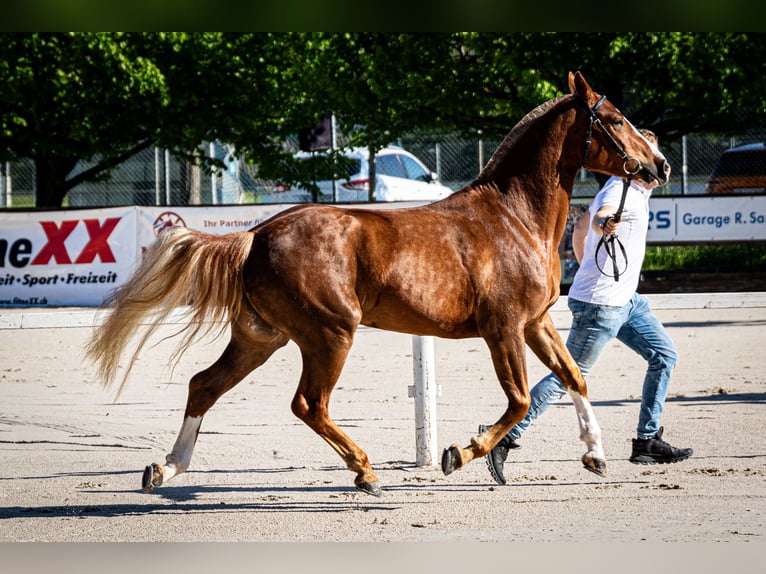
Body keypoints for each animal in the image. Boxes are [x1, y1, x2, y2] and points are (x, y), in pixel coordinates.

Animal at [87, 72, 668, 498]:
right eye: (614, 119)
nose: (658, 165)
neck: (512, 217)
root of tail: (255, 235)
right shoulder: (502, 328)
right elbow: (522, 400)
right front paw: (460, 453)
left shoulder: (535, 322)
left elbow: (573, 377)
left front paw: (595, 454)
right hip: (330, 334)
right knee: (308, 404)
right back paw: (365, 472)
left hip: (262, 337)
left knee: (204, 385)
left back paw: (166, 468)